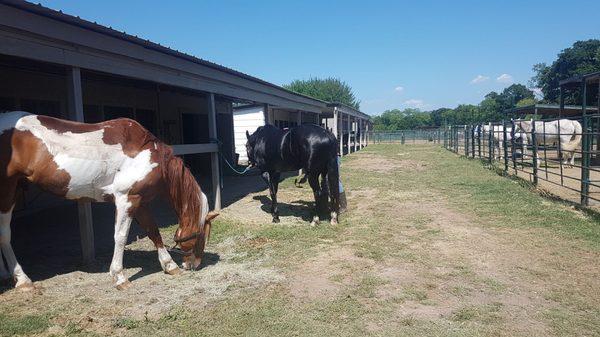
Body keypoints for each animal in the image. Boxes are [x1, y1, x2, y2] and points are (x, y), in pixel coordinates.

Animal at [0, 110, 219, 288]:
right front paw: (119, 276)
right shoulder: (127, 199)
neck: (149, 154)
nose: (194, 264)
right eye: (201, 235)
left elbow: (153, 231)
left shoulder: (140, 201)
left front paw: (169, 265)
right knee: (4, 235)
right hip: (7, 189)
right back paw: (23, 280)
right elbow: (120, 237)